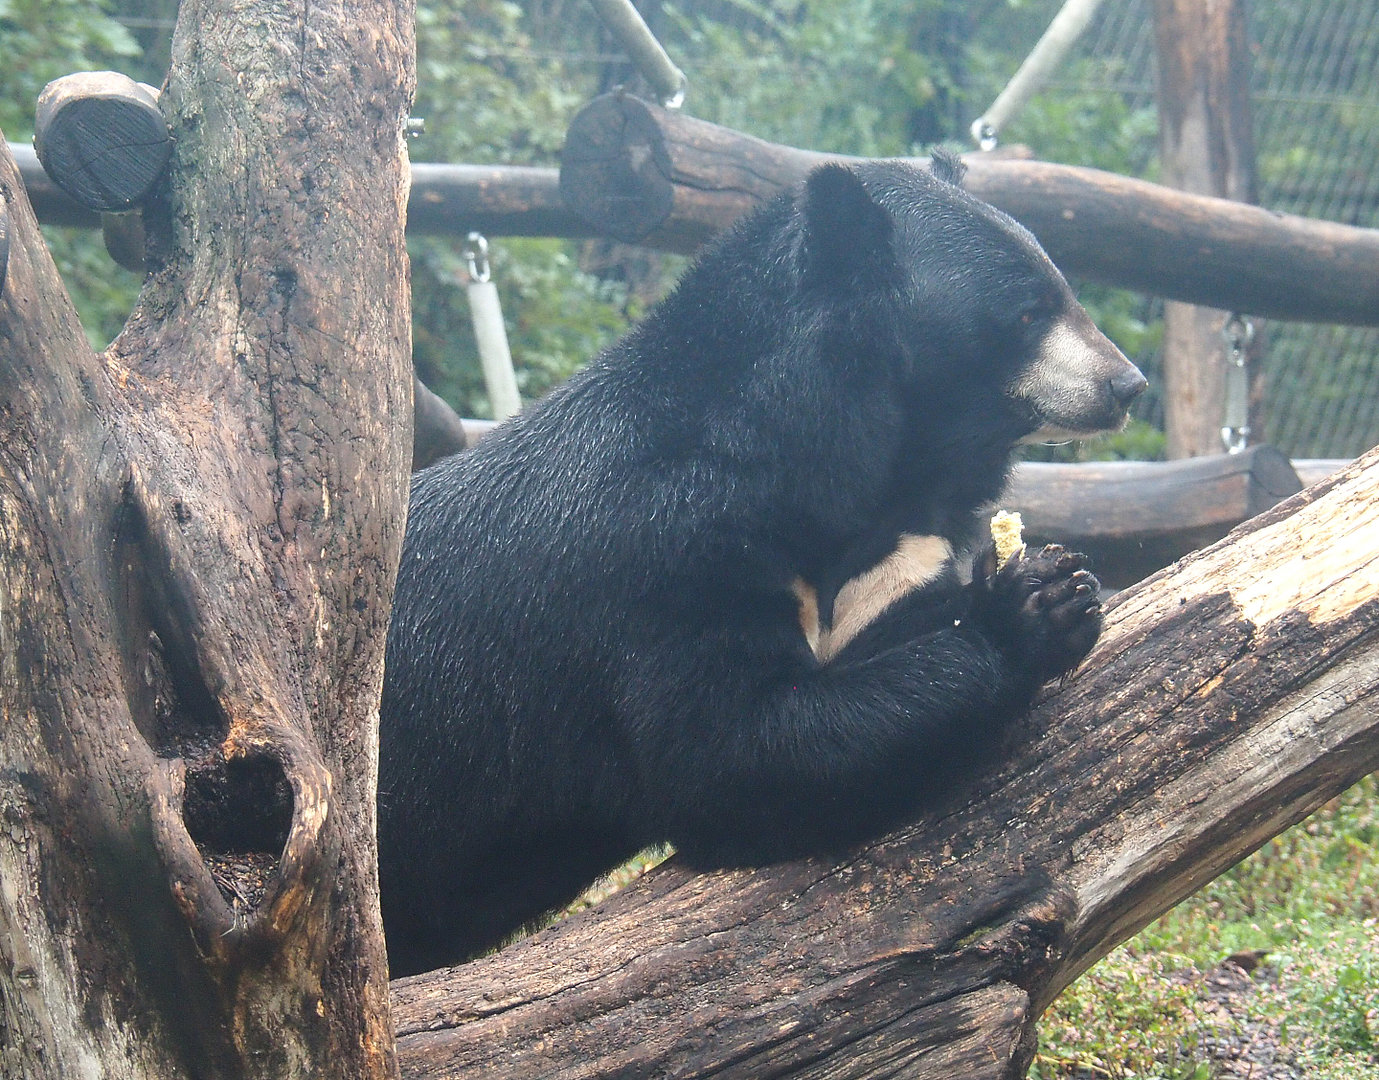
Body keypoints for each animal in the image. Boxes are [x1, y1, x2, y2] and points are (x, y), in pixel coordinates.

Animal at [377, 152, 1147, 977]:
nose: (1126, 384)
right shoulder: (663, 558)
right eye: (1027, 311)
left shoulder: (891, 553)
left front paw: (1054, 586)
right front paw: (1032, 608)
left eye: (1062, 288)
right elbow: (733, 752)